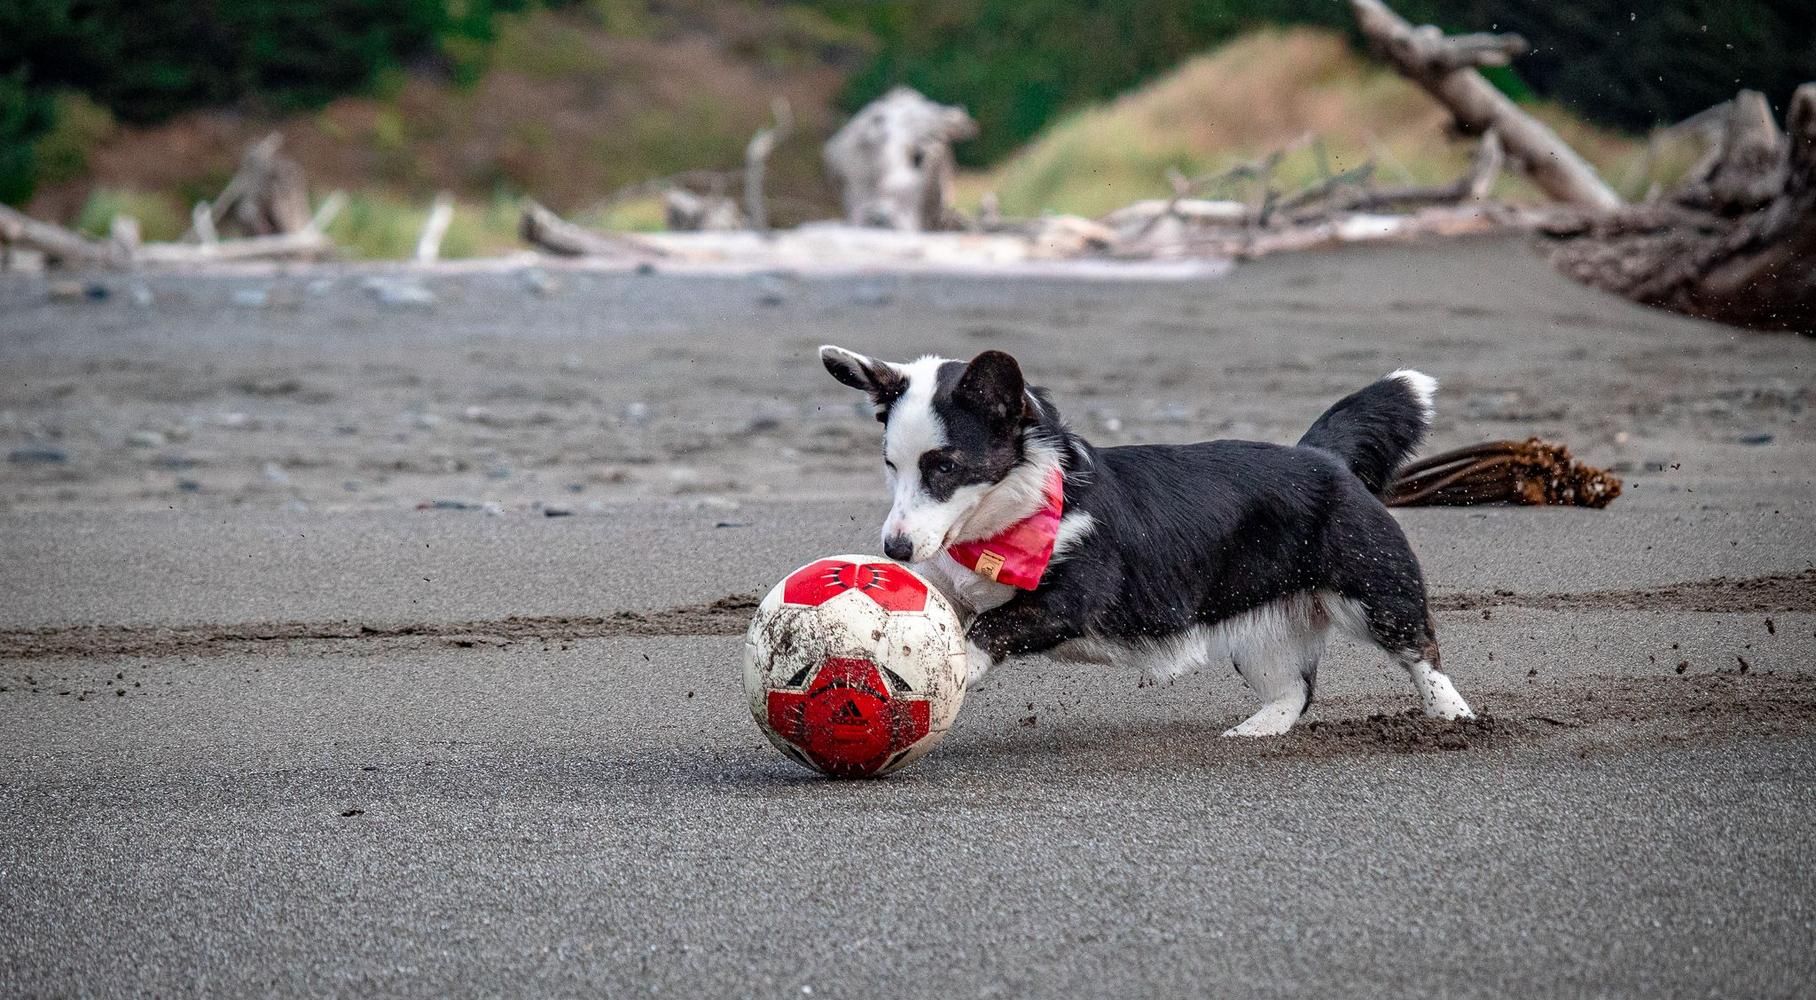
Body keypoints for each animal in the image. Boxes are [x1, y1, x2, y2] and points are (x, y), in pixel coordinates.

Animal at [824, 344, 1474, 736]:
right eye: (890, 465)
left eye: (945, 467)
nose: (895, 551)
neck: (1006, 522)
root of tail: (1323, 457)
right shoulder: (954, 591)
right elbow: (957, 618)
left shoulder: (1070, 598)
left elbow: (985, 629)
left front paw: (952, 664)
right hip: (1257, 629)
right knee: (1294, 689)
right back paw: (1254, 732)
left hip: (1376, 589)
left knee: (1422, 652)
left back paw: (1454, 718)